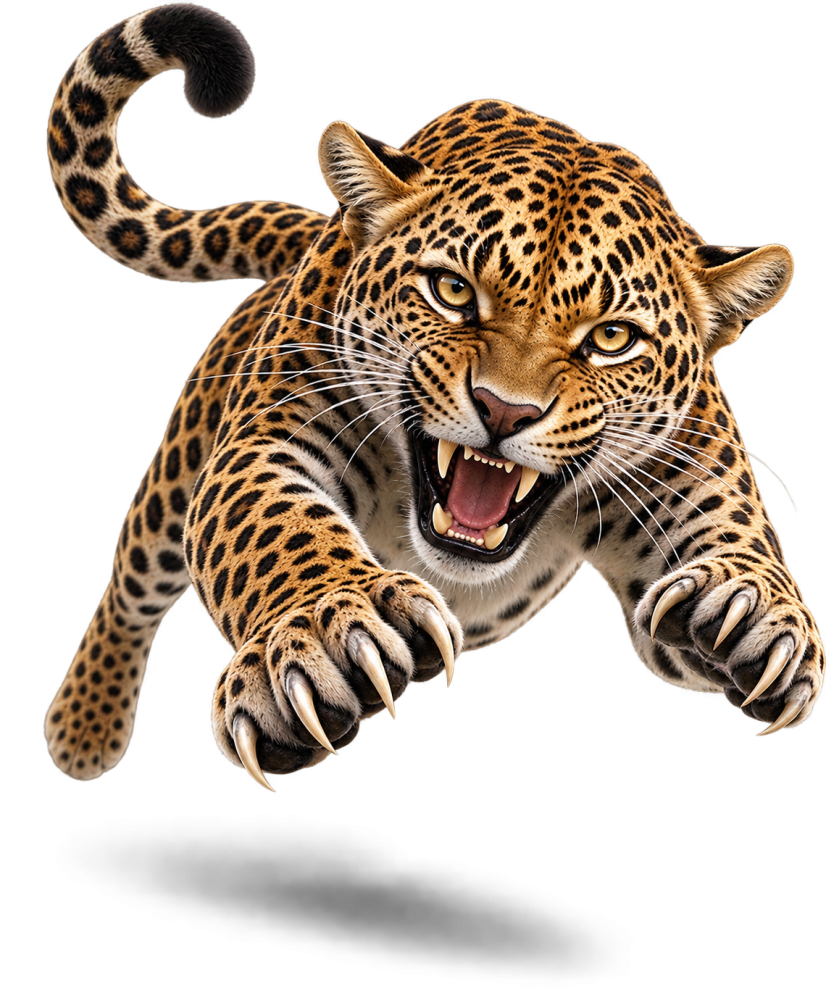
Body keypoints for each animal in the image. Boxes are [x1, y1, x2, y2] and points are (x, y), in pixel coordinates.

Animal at [43, 3, 823, 791]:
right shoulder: (269, 436)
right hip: (172, 491)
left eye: (611, 338)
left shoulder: (697, 468)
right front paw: (328, 629)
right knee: (128, 590)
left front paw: (752, 612)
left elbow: (740, 538)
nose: (506, 410)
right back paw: (83, 729)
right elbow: (278, 527)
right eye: (451, 291)